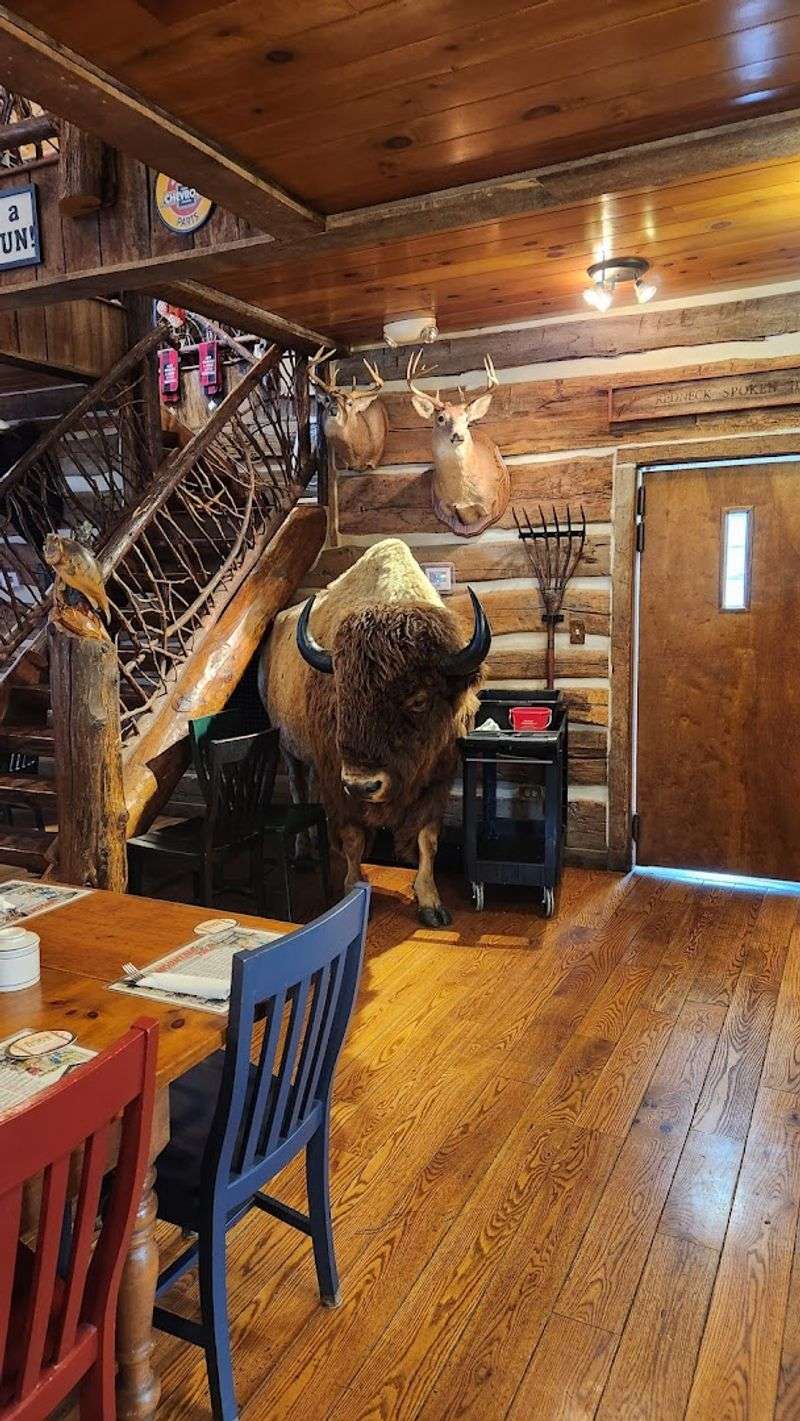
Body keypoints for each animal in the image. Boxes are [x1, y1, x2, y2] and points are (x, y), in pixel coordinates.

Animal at [259, 538, 491, 925]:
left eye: (419, 698)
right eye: (341, 693)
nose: (363, 785)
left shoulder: (439, 779)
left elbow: (427, 839)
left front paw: (431, 903)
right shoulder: (338, 784)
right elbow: (352, 838)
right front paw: (353, 889)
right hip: (288, 748)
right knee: (296, 787)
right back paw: (304, 855)